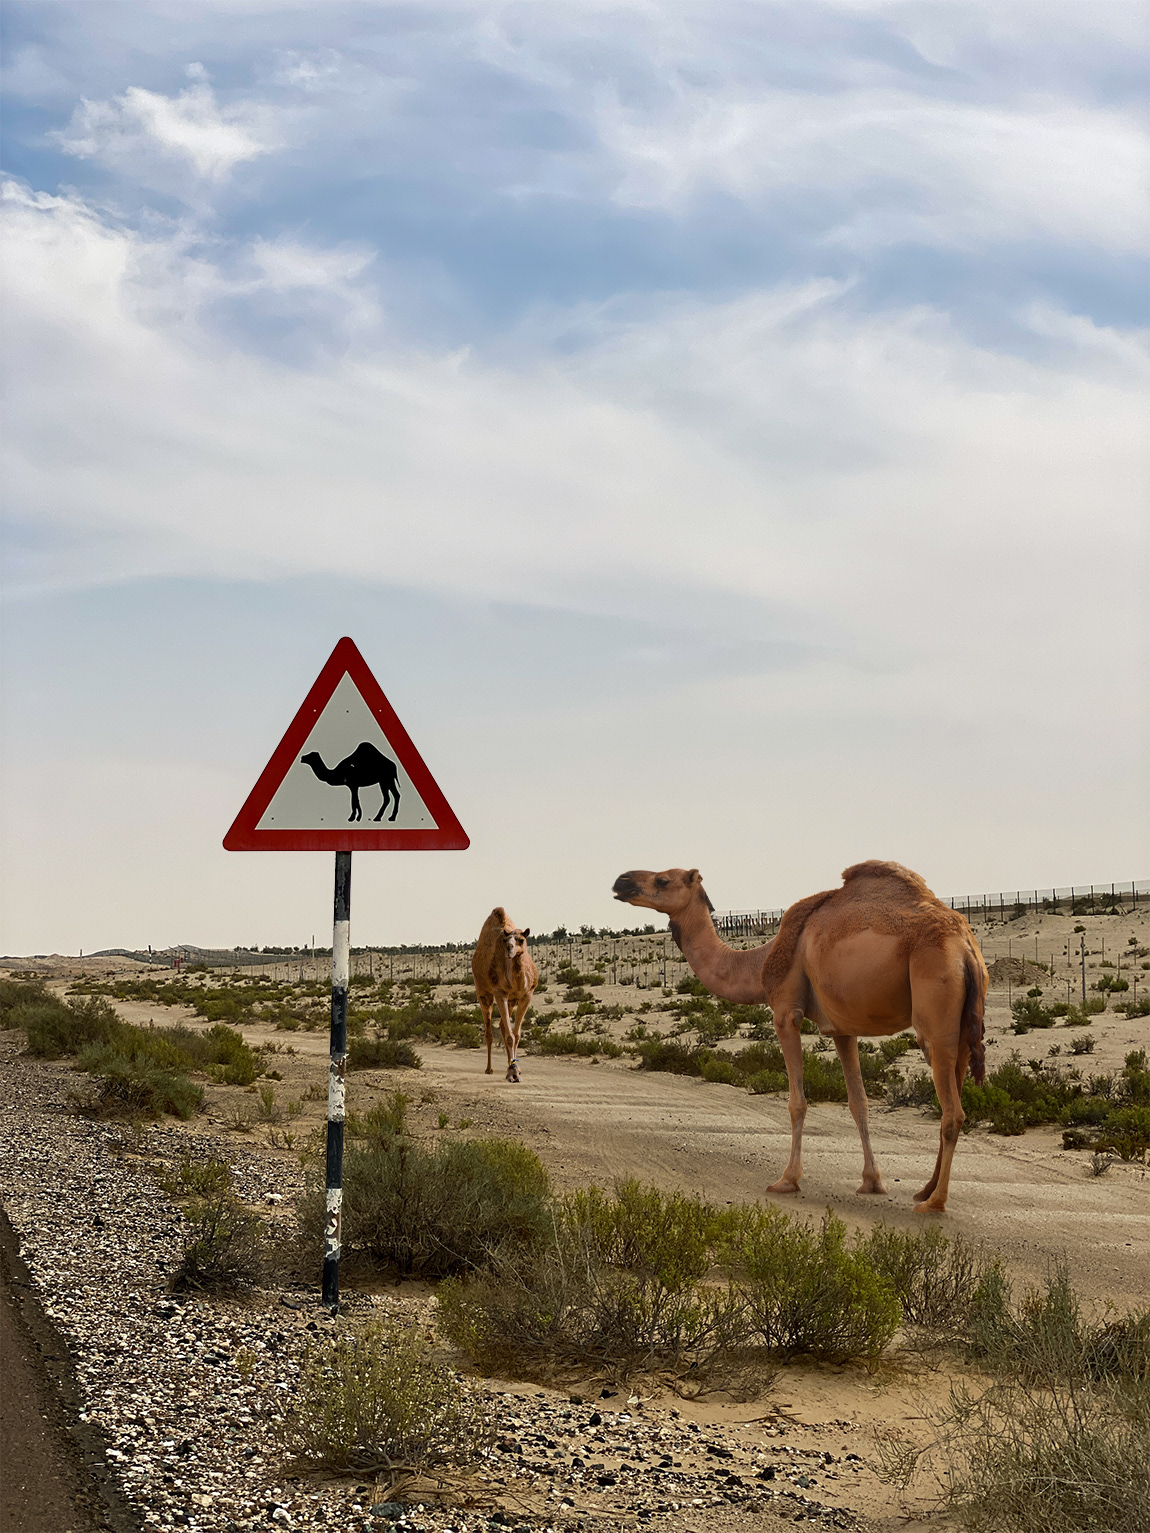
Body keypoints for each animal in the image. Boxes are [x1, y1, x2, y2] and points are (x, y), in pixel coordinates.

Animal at [472, 908, 538, 1083]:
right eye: (505, 940)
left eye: (521, 939)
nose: (509, 948)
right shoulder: (499, 992)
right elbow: (510, 1036)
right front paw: (512, 1073)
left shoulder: (527, 995)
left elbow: (516, 1035)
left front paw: (517, 1070)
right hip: (483, 992)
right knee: (489, 1032)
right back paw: (489, 1069)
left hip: (512, 1000)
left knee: (502, 1025)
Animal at [612, 861, 987, 1212]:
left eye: (663, 880)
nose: (621, 882)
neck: (759, 963)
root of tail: (966, 950)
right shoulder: (841, 1028)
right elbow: (859, 1103)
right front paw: (871, 1182)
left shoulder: (785, 1011)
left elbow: (797, 1102)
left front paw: (787, 1179)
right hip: (961, 1027)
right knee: (953, 1091)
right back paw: (924, 1189)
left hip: (933, 1010)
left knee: (952, 1111)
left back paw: (934, 1201)